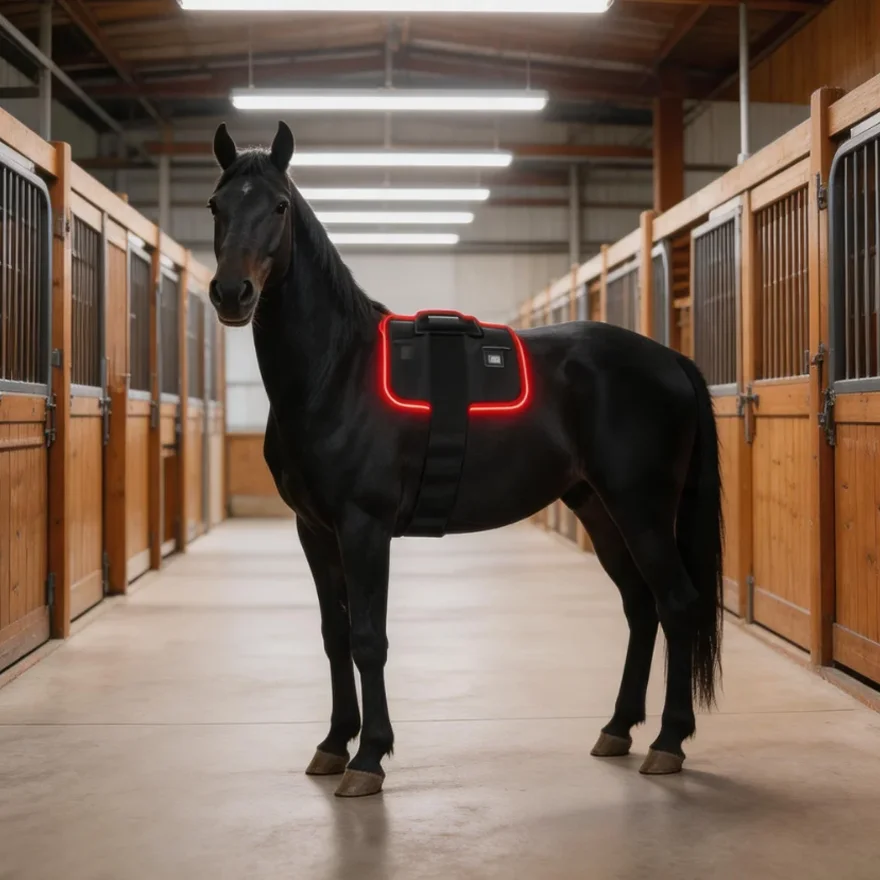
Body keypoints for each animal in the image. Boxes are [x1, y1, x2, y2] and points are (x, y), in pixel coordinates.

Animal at [206, 120, 724, 798]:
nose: (230, 293)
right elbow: (334, 636)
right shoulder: (314, 530)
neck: (334, 372)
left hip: (642, 509)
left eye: (278, 207)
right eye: (216, 205)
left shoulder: (364, 528)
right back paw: (617, 730)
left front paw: (369, 757)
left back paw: (667, 741)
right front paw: (333, 744)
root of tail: (672, 359)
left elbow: (368, 638)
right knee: (641, 607)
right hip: (599, 508)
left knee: (677, 603)